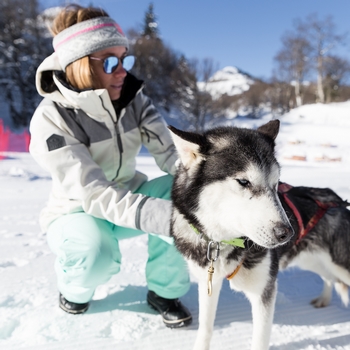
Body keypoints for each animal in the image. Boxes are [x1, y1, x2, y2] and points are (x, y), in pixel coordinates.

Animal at [168, 120, 348, 350]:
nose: (286, 233)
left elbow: (260, 339)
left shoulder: (264, 291)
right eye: (243, 182)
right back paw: (324, 299)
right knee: (328, 277)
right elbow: (205, 329)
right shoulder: (209, 282)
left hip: (339, 263)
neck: (224, 242)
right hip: (312, 260)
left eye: (276, 182)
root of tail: (336, 198)